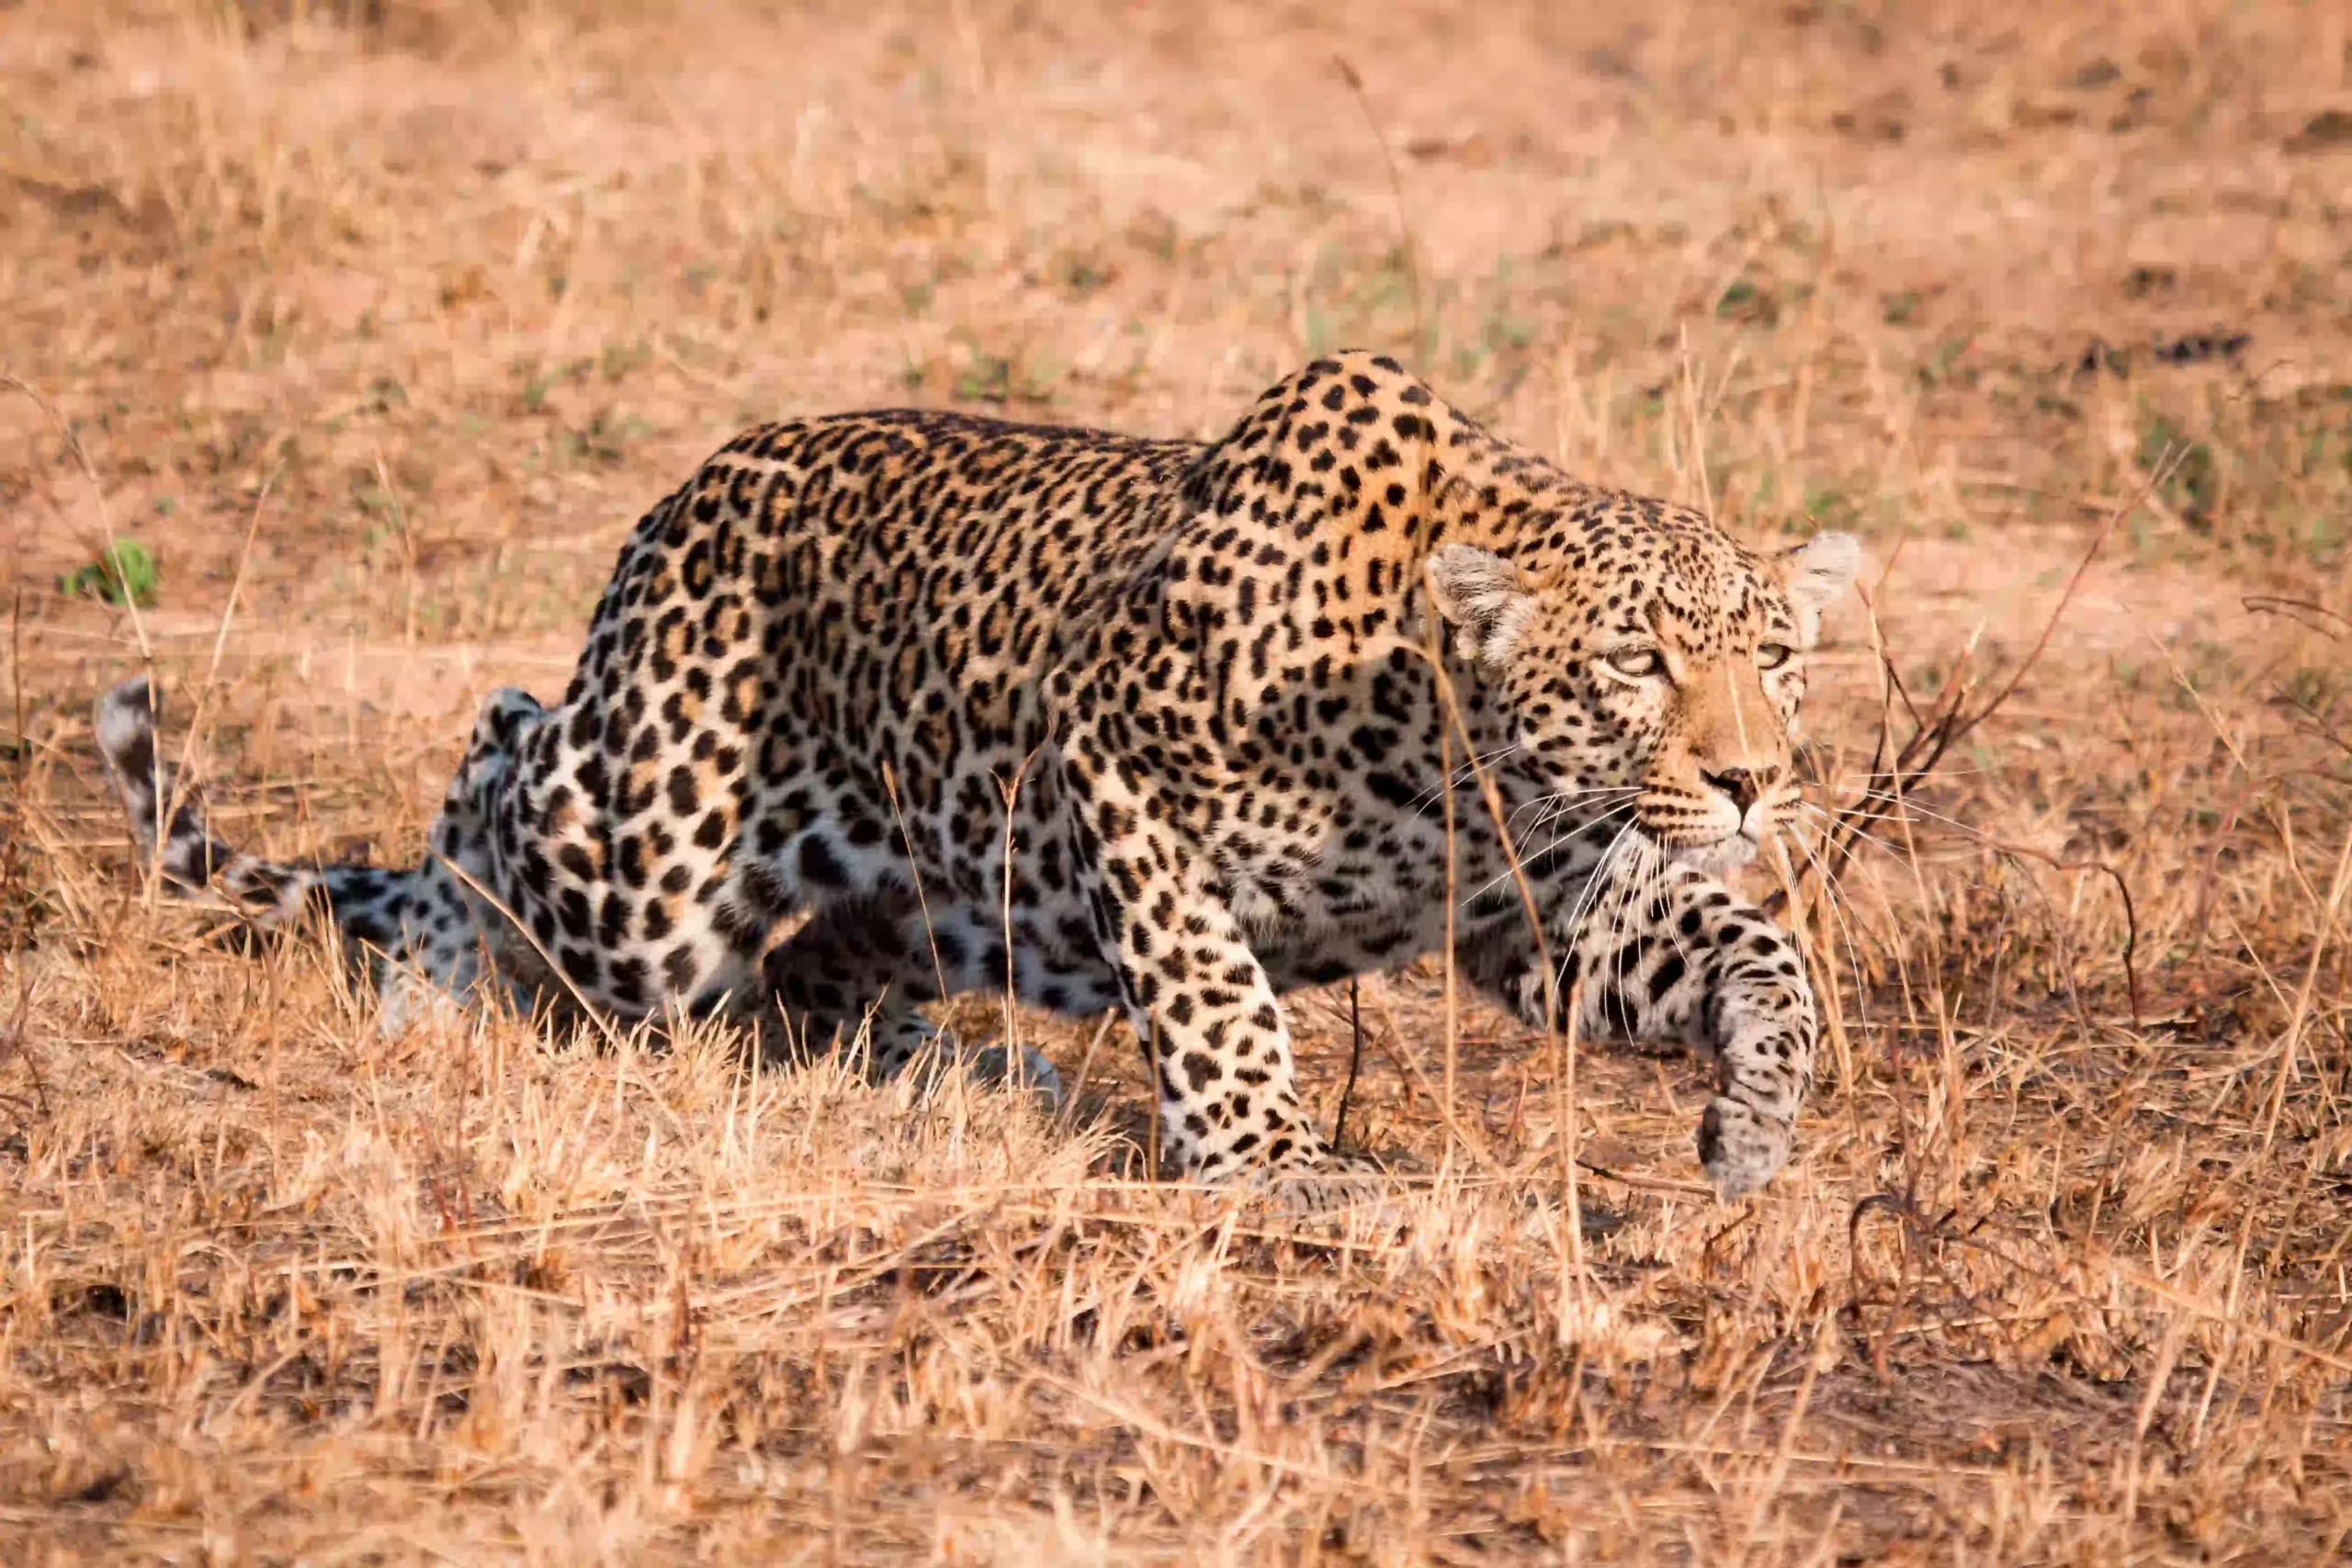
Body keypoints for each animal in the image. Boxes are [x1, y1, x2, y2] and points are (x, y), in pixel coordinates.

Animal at [95, 351, 1857, 1201]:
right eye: (1637, 662)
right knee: (499, 747)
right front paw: (1272, 1164)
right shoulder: (1116, 762)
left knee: (808, 974)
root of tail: (673, 508)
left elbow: (1752, 951)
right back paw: (435, 976)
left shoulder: (1537, 911)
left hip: (971, 899)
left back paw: (955, 1074)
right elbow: (1216, 989)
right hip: (651, 856)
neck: (1448, 731)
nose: (1753, 779)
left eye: (1775, 654)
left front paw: (1755, 1122)